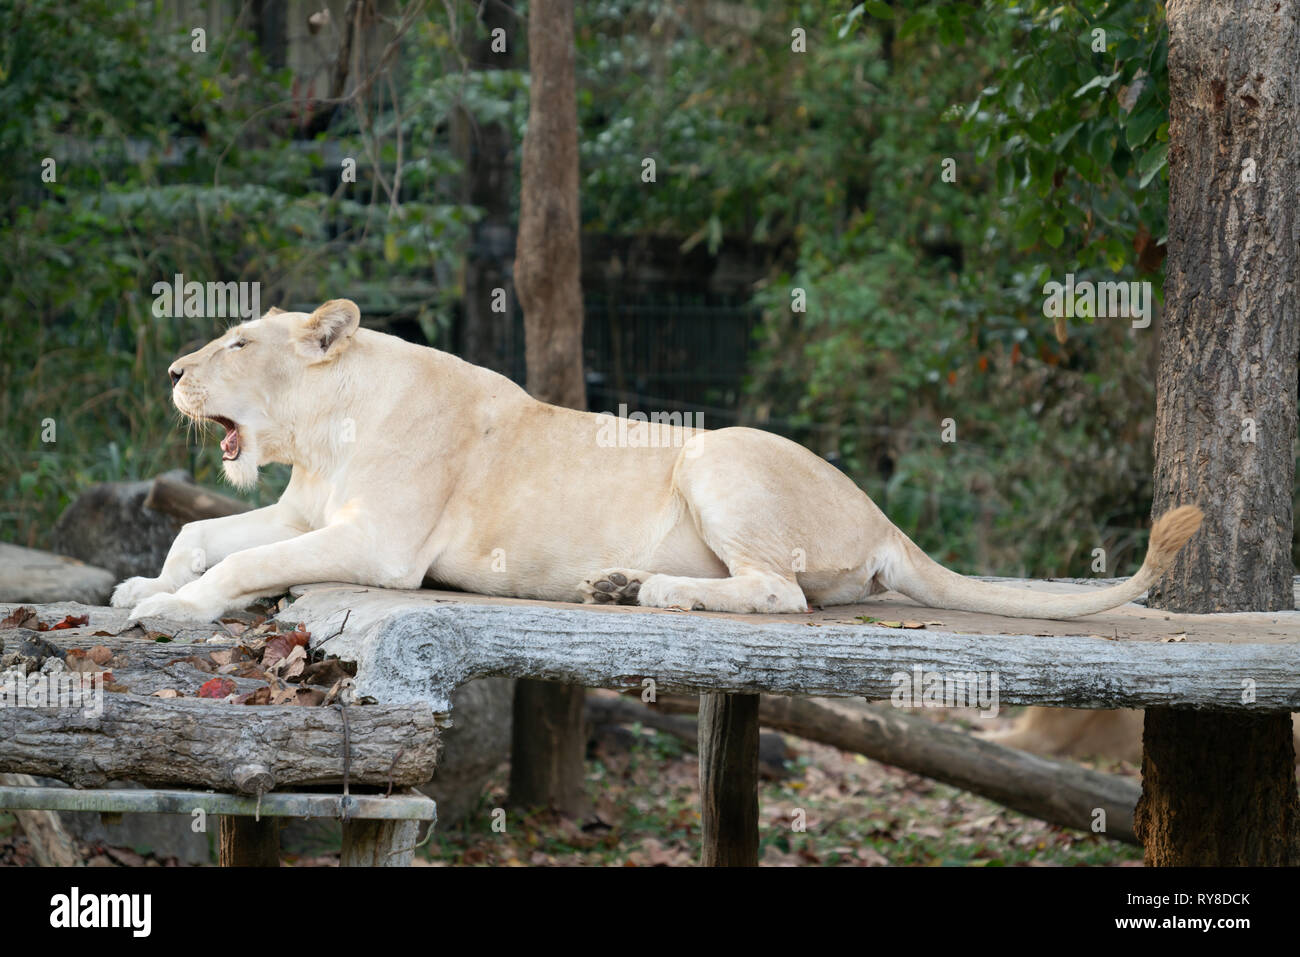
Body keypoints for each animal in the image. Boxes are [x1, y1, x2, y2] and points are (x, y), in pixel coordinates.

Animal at [113, 299, 1203, 623]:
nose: (169, 368)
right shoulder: (309, 514)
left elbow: (245, 563)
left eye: (237, 341)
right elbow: (204, 530)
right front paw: (145, 587)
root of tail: (882, 516)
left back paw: (651, 591)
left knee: (777, 596)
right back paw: (618, 582)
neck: (325, 434)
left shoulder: (379, 545)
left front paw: (178, 610)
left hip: (715, 459)